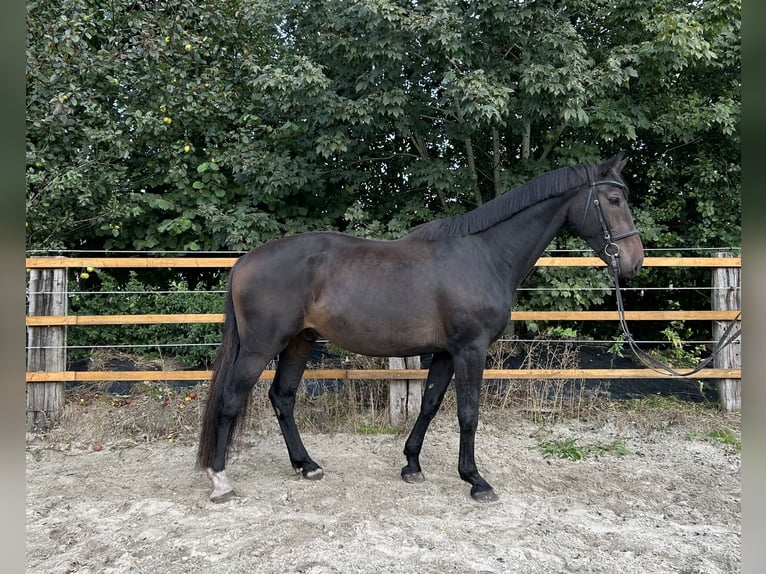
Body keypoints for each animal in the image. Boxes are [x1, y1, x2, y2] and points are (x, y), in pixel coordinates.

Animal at [197, 152, 644, 503]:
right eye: (614, 198)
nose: (634, 262)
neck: (485, 254)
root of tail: (245, 260)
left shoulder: (446, 352)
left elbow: (430, 404)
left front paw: (412, 464)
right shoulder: (470, 349)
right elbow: (468, 412)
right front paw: (476, 480)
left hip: (299, 342)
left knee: (282, 397)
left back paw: (306, 465)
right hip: (261, 347)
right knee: (232, 400)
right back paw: (220, 480)